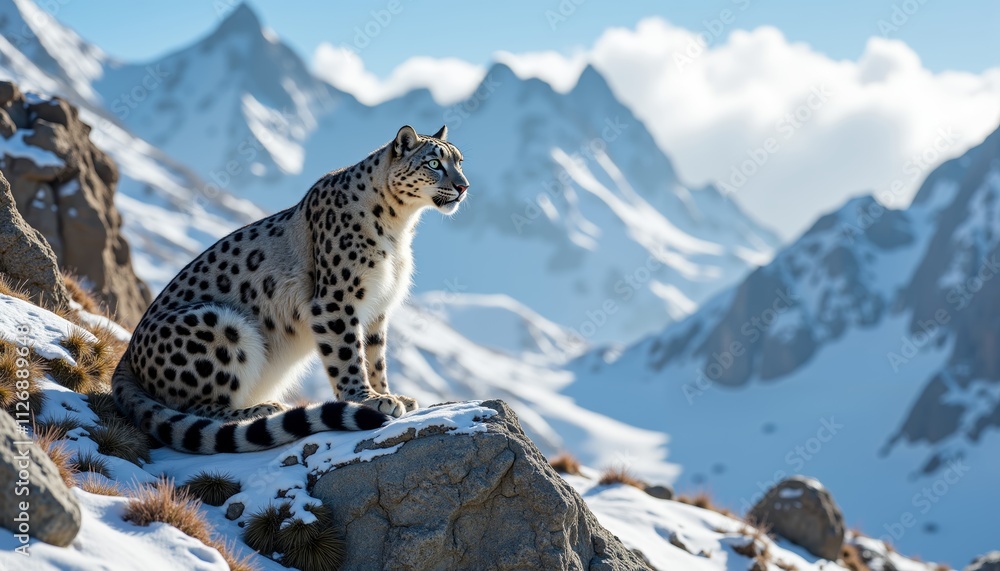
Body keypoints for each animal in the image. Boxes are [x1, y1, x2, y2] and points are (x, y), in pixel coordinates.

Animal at [111, 125, 469, 453]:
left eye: (459, 161)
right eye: (434, 163)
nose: (463, 186)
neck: (399, 228)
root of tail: (125, 359)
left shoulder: (377, 307)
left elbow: (375, 356)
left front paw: (389, 394)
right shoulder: (337, 300)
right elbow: (347, 354)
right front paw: (367, 399)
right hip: (219, 326)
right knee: (193, 407)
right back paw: (263, 409)